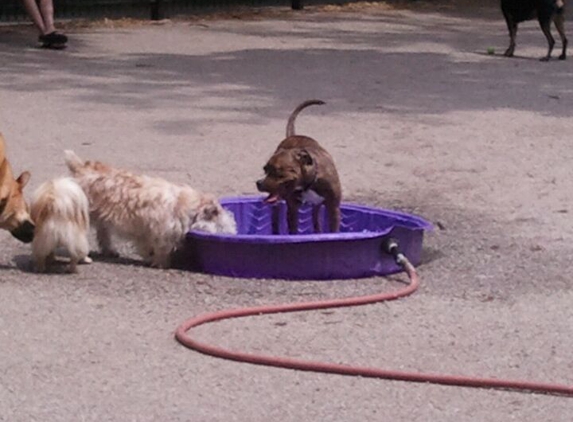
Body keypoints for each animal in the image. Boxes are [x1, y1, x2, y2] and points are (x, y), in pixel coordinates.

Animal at [65, 150, 237, 268]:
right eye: (223, 227)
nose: (232, 235)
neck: (187, 207)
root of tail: (80, 168)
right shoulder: (157, 232)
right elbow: (159, 249)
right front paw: (161, 263)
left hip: (103, 219)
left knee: (103, 233)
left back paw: (110, 251)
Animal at [255, 101, 340, 236]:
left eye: (277, 171)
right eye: (265, 169)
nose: (259, 182)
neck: (309, 183)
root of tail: (292, 135)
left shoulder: (333, 209)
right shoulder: (292, 209)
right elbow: (293, 229)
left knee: (315, 216)